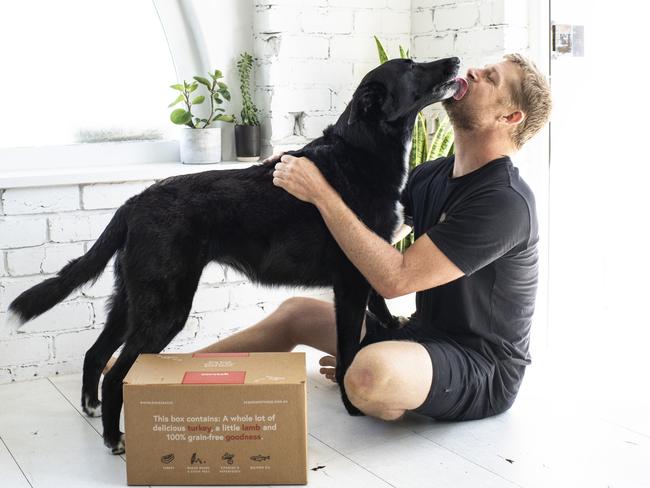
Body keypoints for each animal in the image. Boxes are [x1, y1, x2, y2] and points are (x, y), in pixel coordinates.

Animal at [7, 56, 458, 454]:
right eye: (412, 66)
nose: (455, 60)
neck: (362, 150)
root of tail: (133, 203)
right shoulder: (348, 281)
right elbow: (349, 350)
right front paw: (351, 406)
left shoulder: (369, 265)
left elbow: (380, 300)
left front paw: (392, 322)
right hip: (165, 306)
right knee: (116, 372)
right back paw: (113, 439)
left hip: (131, 300)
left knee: (96, 353)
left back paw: (91, 410)